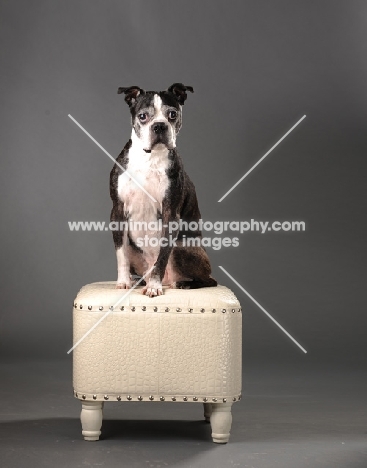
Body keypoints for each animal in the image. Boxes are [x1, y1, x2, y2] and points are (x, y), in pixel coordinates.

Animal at [110, 82, 217, 298]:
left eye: (172, 114)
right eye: (143, 116)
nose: (159, 125)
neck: (149, 158)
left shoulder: (170, 214)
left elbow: (162, 256)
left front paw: (154, 286)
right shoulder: (117, 211)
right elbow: (121, 253)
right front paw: (123, 281)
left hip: (183, 245)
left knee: (209, 280)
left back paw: (181, 284)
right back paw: (140, 282)